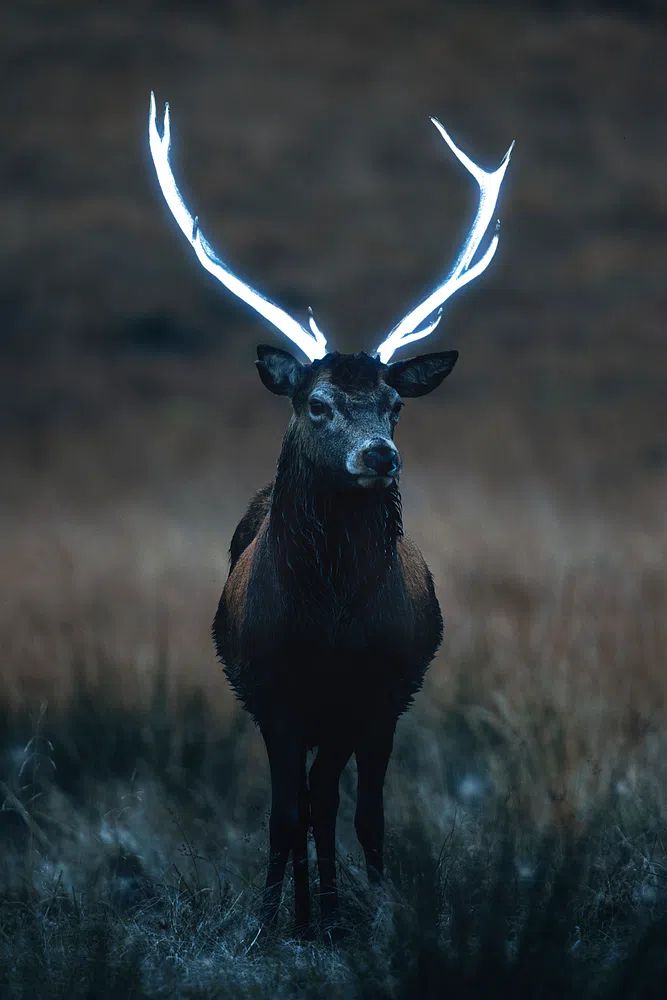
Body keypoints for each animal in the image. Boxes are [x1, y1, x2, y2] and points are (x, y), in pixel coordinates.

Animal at [148, 93, 513, 936]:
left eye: (393, 405)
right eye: (315, 403)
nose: (379, 456)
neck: (324, 625)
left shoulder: (374, 690)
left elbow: (347, 808)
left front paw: (361, 917)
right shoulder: (271, 690)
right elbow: (284, 812)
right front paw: (271, 921)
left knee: (350, 803)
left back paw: (347, 906)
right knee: (304, 804)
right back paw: (308, 911)